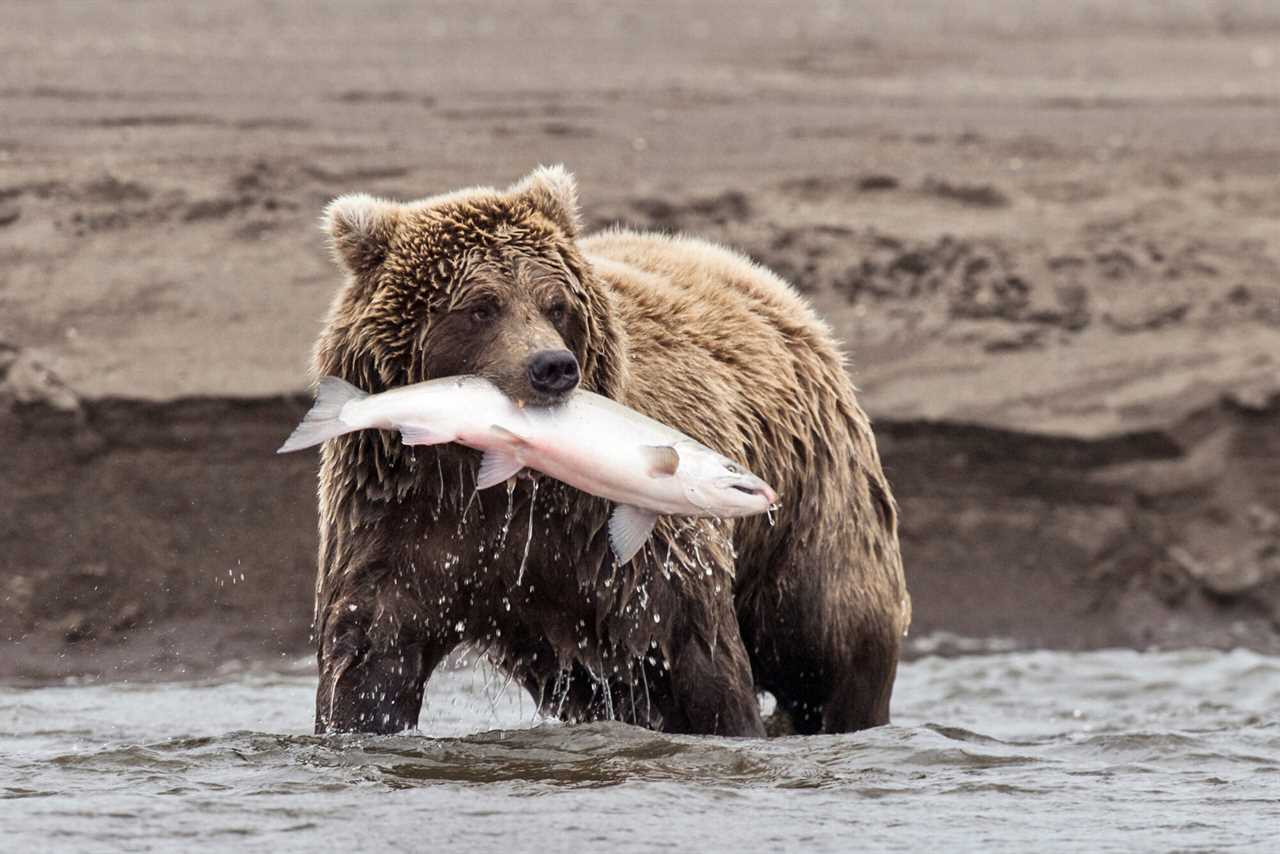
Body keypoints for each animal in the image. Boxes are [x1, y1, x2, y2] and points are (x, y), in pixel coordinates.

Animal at [309, 165, 911, 737]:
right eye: (481, 307)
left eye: (555, 305)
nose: (552, 366)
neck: (495, 475)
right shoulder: (406, 515)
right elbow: (372, 649)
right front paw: (355, 719)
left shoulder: (618, 541)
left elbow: (691, 650)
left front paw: (732, 725)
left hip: (812, 502)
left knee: (830, 638)